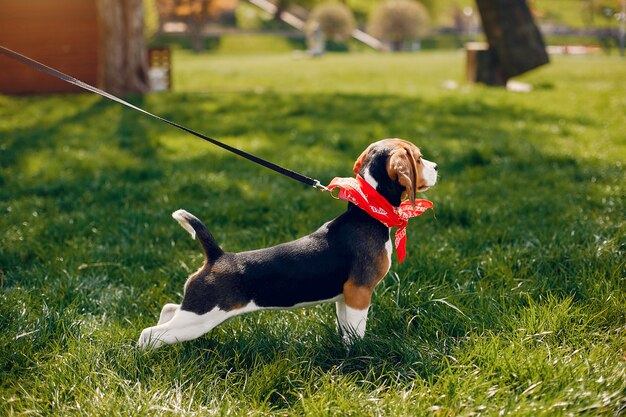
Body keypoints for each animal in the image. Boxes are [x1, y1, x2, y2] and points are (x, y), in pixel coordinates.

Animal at [138, 139, 436, 348]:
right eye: (418, 158)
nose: (436, 168)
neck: (367, 211)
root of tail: (217, 256)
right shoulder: (359, 293)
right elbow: (356, 331)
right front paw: (358, 355)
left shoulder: (345, 297)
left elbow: (345, 328)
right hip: (199, 318)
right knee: (149, 334)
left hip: (194, 313)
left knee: (169, 309)